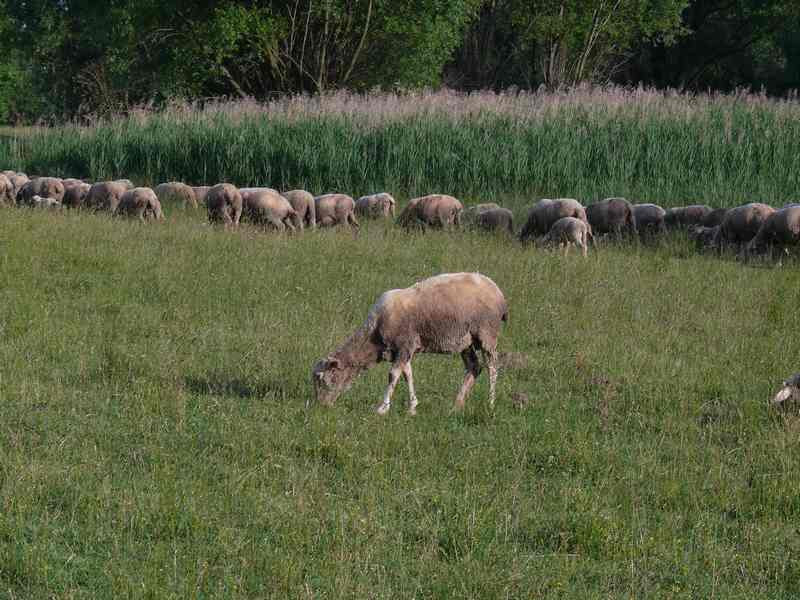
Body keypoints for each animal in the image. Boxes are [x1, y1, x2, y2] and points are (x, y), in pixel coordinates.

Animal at [310, 274, 506, 414]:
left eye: (323, 379)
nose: (321, 406)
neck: (374, 333)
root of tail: (498, 292)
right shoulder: (403, 349)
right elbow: (408, 375)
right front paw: (412, 407)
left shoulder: (404, 345)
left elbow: (393, 375)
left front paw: (382, 408)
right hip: (466, 341)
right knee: (474, 367)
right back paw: (456, 405)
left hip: (487, 333)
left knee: (492, 367)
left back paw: (491, 402)